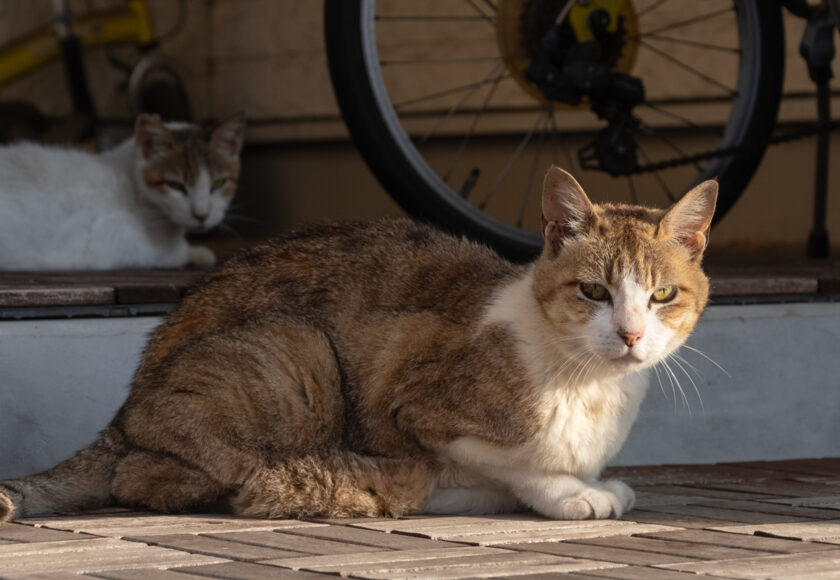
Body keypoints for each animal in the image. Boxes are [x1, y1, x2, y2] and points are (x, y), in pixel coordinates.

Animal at [0, 113, 246, 272]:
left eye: (218, 183)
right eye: (176, 185)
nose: (202, 214)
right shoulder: (116, 243)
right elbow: (173, 254)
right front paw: (199, 253)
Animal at [0, 168, 720, 520]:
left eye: (662, 295)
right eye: (594, 292)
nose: (630, 334)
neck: (590, 384)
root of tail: (123, 410)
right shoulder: (414, 397)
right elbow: (514, 463)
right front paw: (572, 493)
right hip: (301, 351)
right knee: (142, 476)